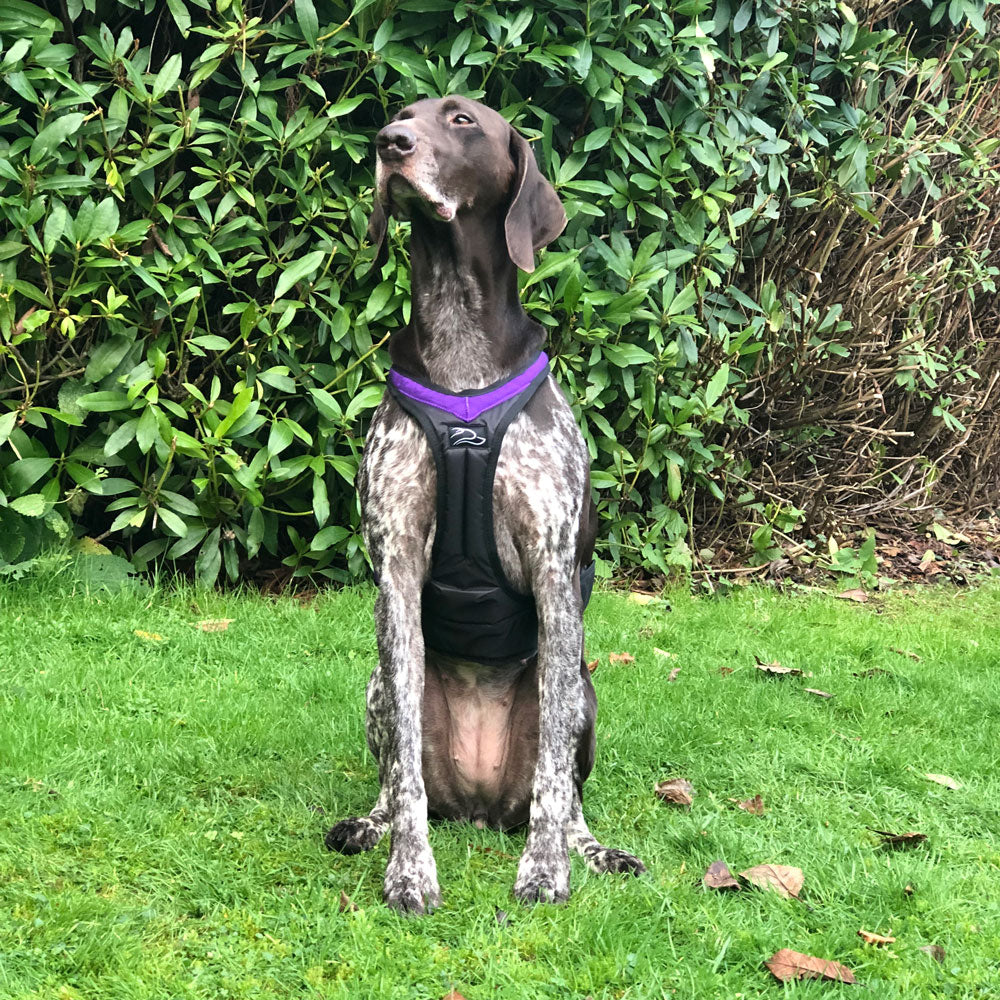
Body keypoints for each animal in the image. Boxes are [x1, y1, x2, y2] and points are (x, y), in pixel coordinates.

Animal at [324, 95, 644, 916]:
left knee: (563, 793)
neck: (459, 328)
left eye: (462, 120)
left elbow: (553, 783)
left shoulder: (555, 573)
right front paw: (408, 872)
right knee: (397, 777)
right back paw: (370, 824)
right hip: (378, 686)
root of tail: (474, 805)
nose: (389, 143)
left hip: (584, 692)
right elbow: (405, 771)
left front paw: (545, 871)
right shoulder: (396, 572)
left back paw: (589, 848)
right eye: (401, 114)